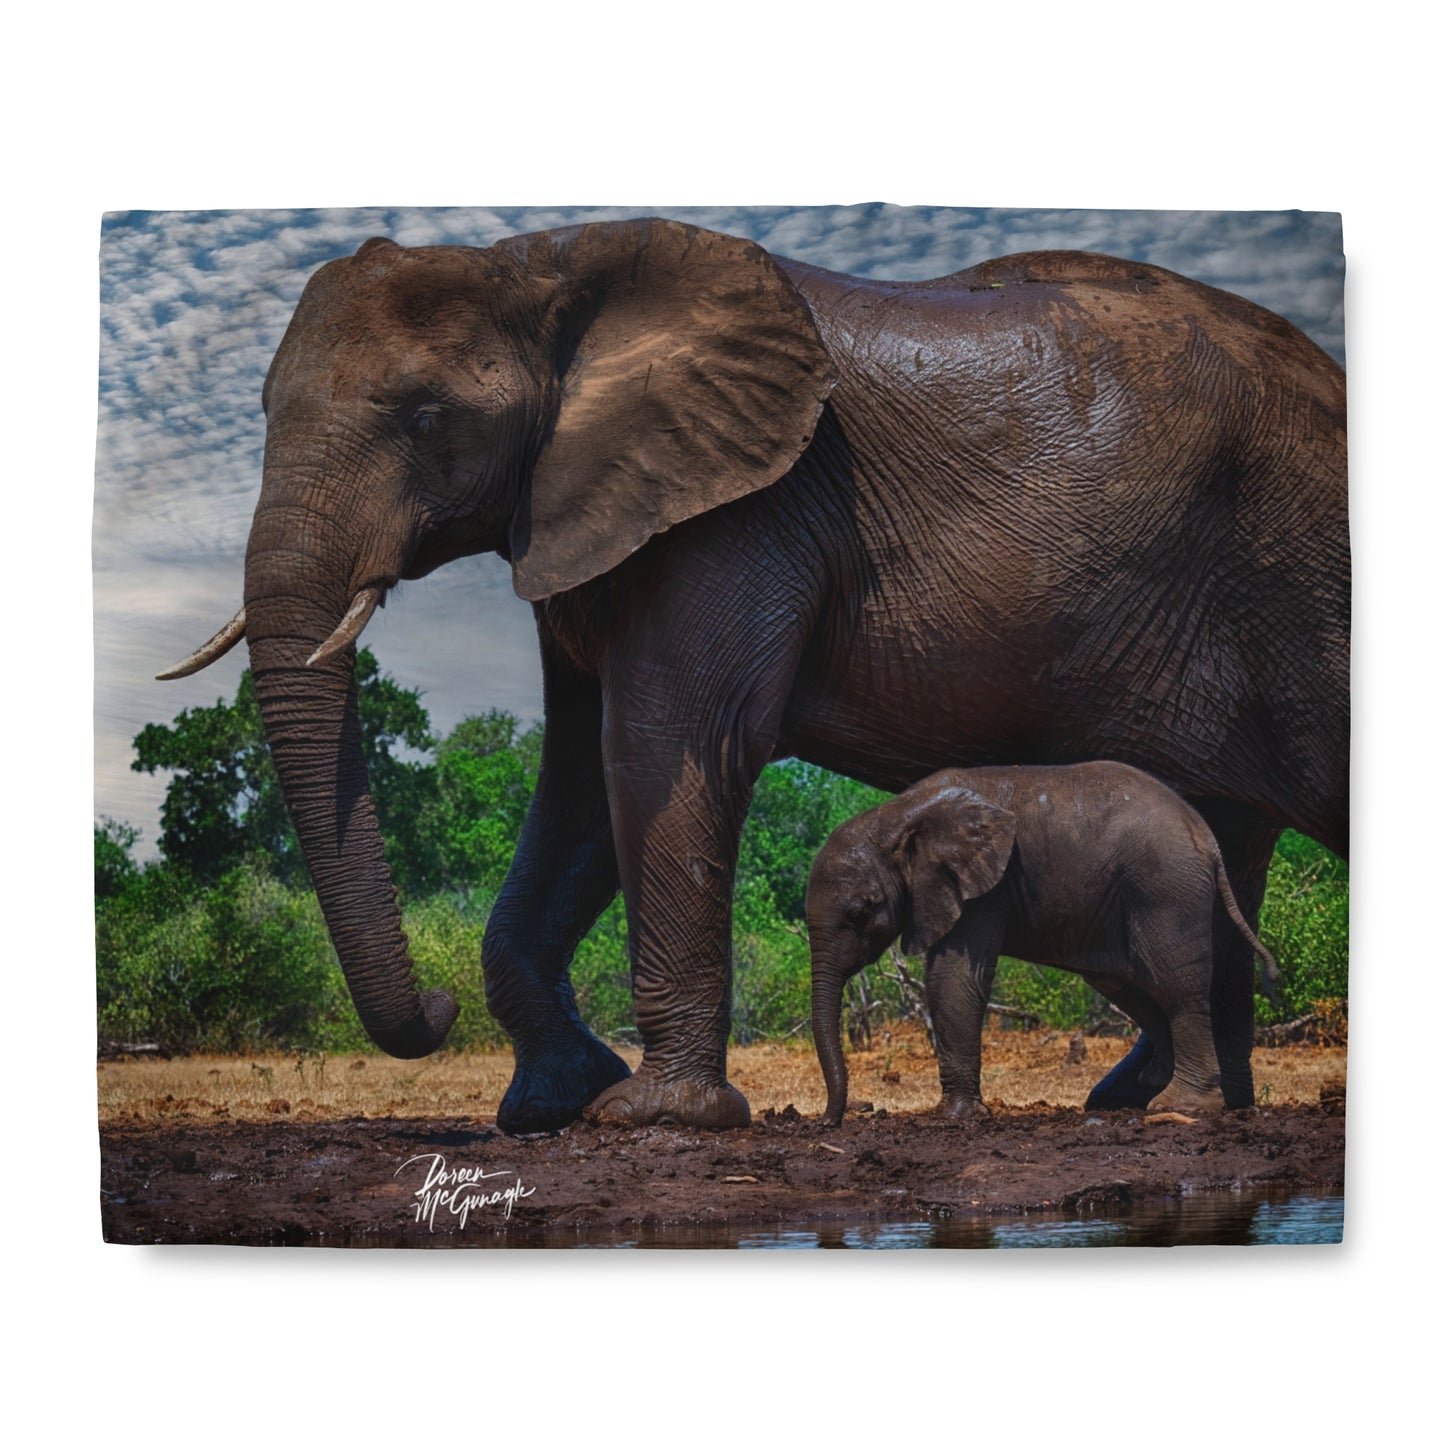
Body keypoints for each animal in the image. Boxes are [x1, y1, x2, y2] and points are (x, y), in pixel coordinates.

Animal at [806, 763, 1281, 1126]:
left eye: (860, 913)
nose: (831, 1121)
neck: (898, 815)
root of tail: (1207, 837)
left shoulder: (985, 886)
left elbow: (952, 977)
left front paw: (955, 1117)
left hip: (1166, 887)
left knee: (1176, 987)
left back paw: (1180, 1106)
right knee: (1130, 984)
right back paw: (1149, 1086)